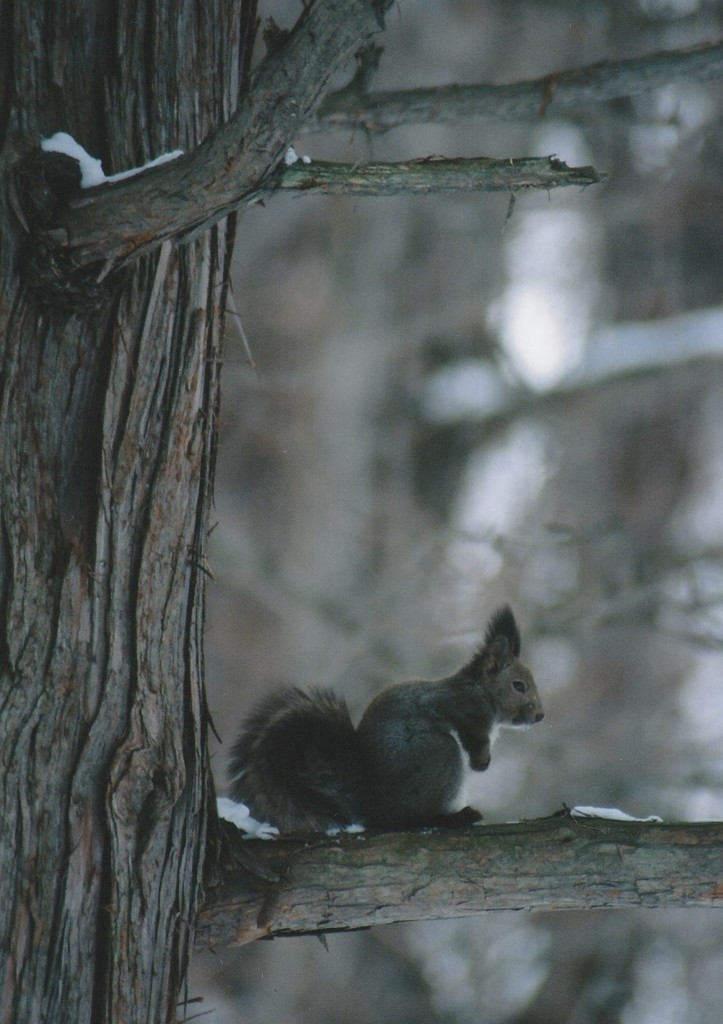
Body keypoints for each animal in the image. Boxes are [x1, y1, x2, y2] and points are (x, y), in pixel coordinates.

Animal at [225, 606, 540, 831]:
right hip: (439, 753)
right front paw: (481, 761)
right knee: (410, 820)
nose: (539, 715)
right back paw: (451, 818)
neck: (480, 690)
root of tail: (375, 806)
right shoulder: (458, 706)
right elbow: (472, 734)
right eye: (519, 685)